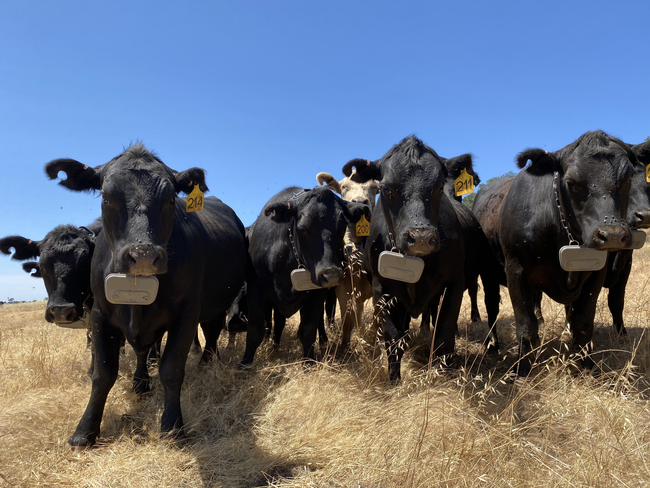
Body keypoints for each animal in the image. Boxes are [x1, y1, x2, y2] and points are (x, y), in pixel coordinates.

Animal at [43, 143, 246, 448]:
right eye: (106, 196)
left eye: (171, 199)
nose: (143, 255)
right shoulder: (101, 314)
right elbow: (103, 373)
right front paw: (85, 430)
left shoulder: (187, 312)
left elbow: (171, 369)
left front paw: (172, 426)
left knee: (211, 331)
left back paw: (206, 362)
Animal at [239, 187, 370, 366]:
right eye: (302, 228)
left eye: (342, 226)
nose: (331, 274)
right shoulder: (255, 288)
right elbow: (255, 331)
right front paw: (245, 363)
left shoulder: (317, 293)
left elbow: (308, 330)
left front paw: (309, 362)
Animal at [316, 170, 380, 346]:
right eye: (344, 187)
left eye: (374, 187)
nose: (360, 203)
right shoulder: (342, 288)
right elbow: (347, 320)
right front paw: (344, 345)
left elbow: (377, 320)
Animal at [340, 135, 466, 384]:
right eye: (386, 189)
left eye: (439, 187)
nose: (421, 237)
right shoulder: (381, 289)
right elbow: (394, 338)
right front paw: (394, 381)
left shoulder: (455, 284)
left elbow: (444, 336)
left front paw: (442, 381)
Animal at [498, 131, 636, 378]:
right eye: (571, 183)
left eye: (629, 176)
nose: (612, 235)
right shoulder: (515, 270)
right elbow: (526, 326)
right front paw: (522, 370)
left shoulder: (595, 274)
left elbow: (583, 324)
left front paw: (588, 366)